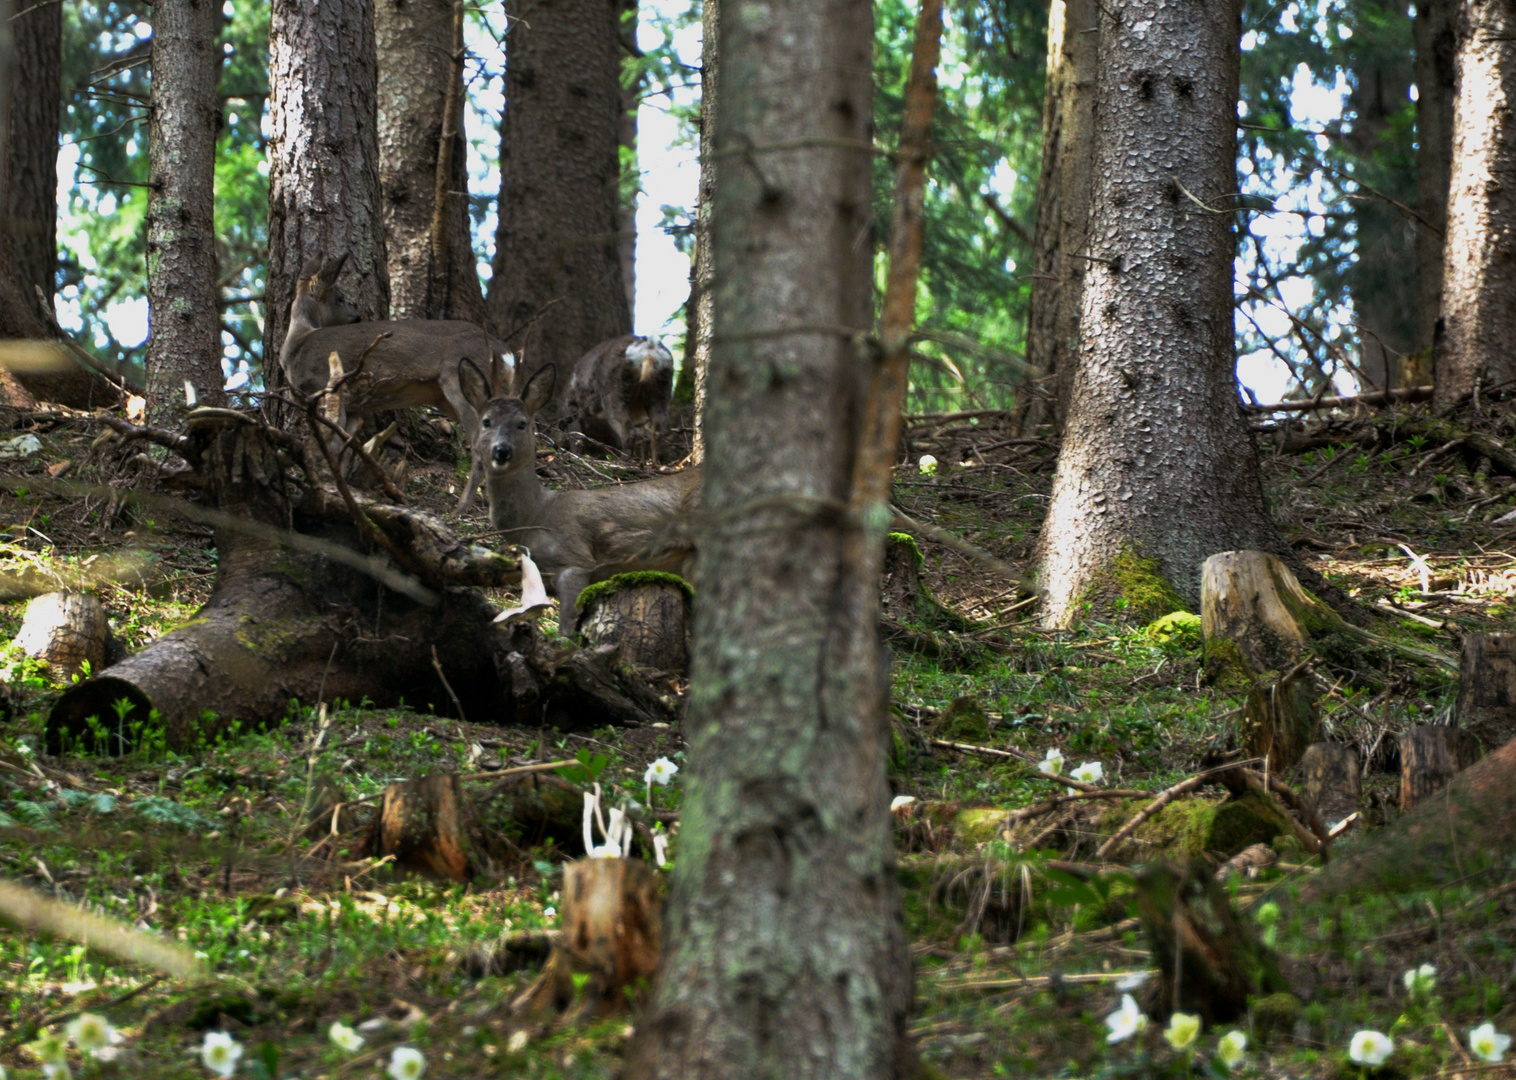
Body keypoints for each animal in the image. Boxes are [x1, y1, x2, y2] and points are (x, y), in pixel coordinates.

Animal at [283, 254, 515, 512]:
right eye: (341, 298)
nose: (357, 317)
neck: (296, 345)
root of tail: (504, 352)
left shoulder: (329, 387)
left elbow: (332, 442)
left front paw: (327, 485)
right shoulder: (354, 406)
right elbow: (346, 444)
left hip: (459, 378)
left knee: (479, 443)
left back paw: (461, 507)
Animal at [457, 357, 700, 637]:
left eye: (522, 423)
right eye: (486, 421)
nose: (501, 450)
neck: (535, 515)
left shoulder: (574, 558)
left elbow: (565, 631)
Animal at [560, 330, 673, 461]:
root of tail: (649, 348)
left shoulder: (572, 409)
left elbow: (577, 438)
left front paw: (576, 456)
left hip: (615, 392)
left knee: (629, 431)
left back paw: (623, 461)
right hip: (661, 393)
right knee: (659, 431)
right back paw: (656, 462)